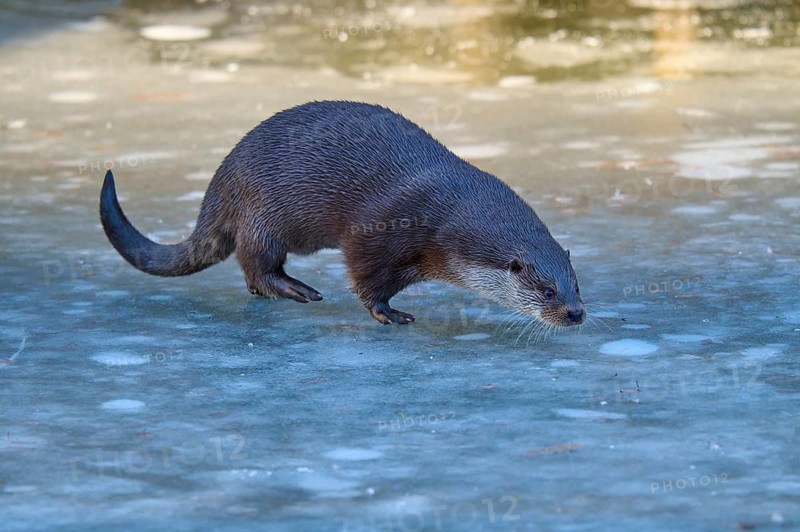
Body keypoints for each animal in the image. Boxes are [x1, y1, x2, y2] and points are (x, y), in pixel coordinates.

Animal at [100, 101, 585, 326]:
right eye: (547, 292)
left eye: (575, 285)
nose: (576, 314)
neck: (449, 211)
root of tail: (223, 175)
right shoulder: (382, 228)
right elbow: (367, 277)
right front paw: (388, 313)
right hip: (261, 214)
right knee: (255, 264)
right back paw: (296, 289)